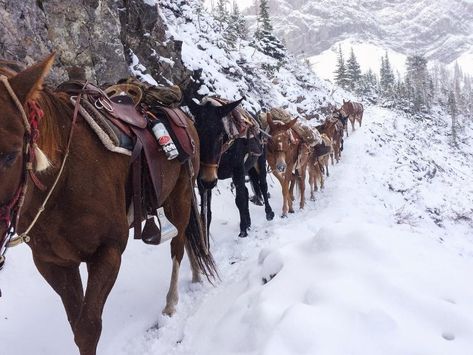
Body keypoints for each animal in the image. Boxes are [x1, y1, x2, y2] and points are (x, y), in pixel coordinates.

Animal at [0, 55, 216, 355]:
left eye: (10, 156)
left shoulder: (108, 252)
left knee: (178, 243)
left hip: (181, 195)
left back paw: (171, 303)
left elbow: (89, 329)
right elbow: (77, 325)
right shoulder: (53, 263)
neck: (62, 181)